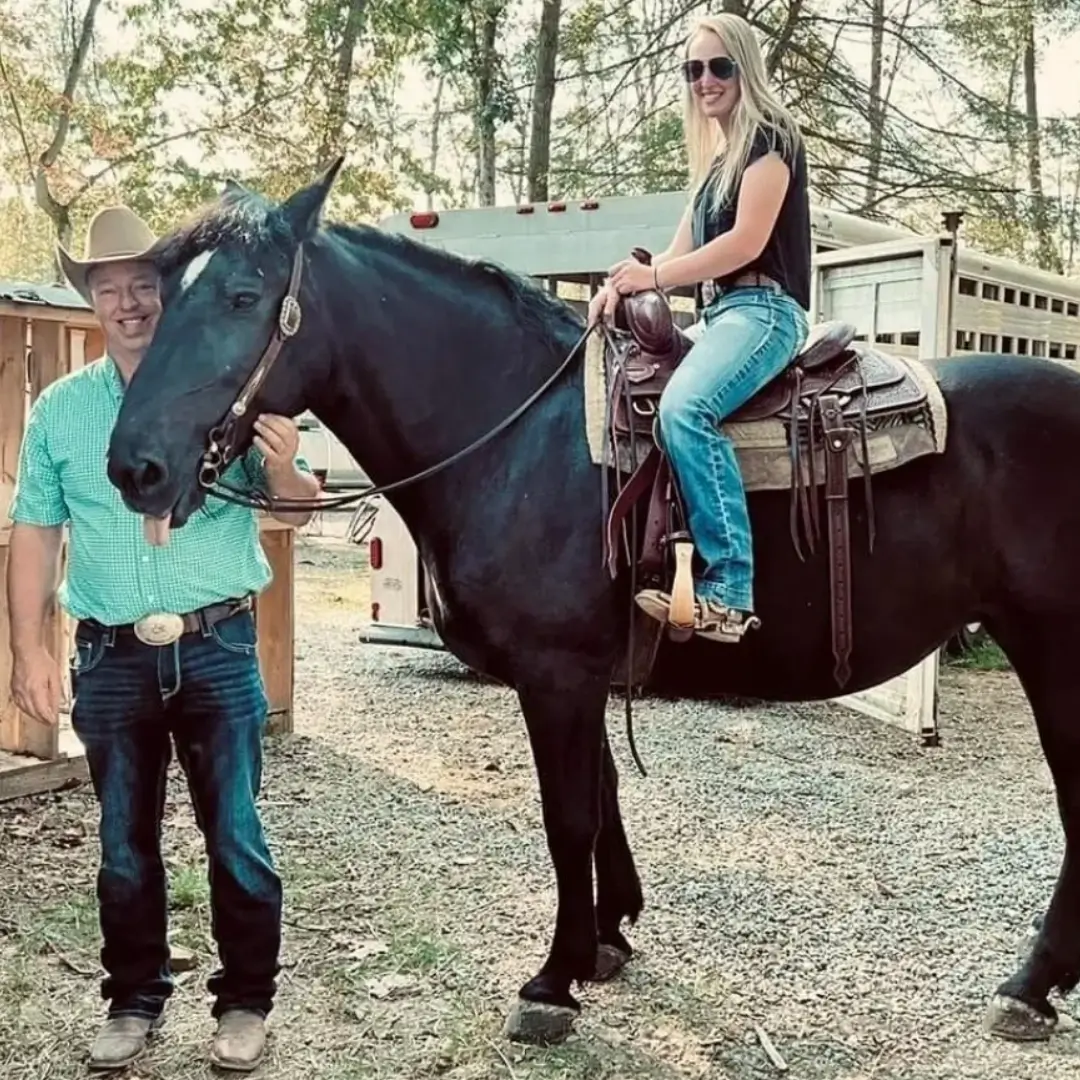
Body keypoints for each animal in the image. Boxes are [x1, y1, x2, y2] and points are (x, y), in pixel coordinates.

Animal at [107, 162, 1080, 1045]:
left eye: (242, 295)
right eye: (161, 298)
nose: (135, 467)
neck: (509, 435)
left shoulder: (556, 677)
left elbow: (567, 815)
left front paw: (552, 981)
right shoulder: (585, 677)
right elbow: (604, 796)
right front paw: (608, 940)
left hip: (1054, 653)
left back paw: (1029, 987)